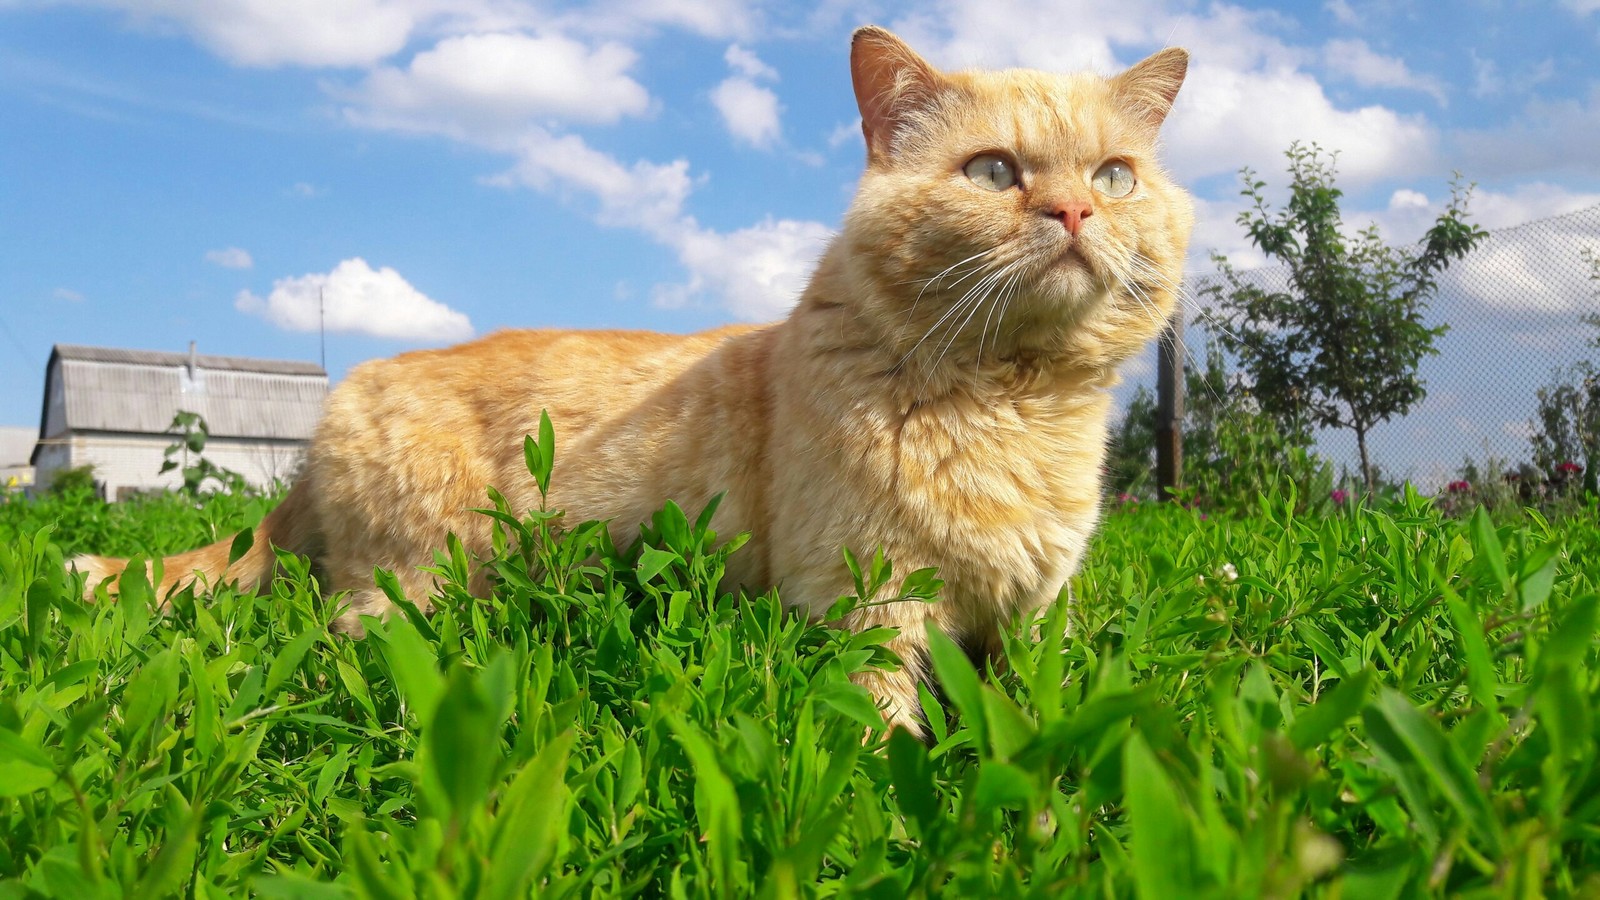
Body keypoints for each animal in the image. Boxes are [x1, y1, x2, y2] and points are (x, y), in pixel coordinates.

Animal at [81, 28, 1196, 733]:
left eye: (1114, 177)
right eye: (994, 172)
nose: (1073, 213)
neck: (1015, 400)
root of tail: (323, 425)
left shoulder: (1027, 622)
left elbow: (1028, 720)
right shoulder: (868, 606)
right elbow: (885, 734)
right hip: (414, 587)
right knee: (354, 650)